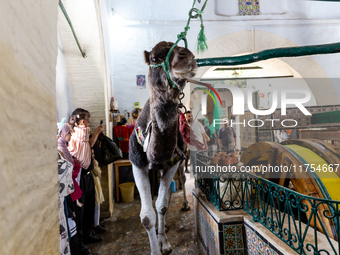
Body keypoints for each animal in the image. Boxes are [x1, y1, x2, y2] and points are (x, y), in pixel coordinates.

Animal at [129, 40, 198, 254]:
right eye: (155, 58)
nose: (187, 57)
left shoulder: (173, 163)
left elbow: (162, 206)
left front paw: (165, 244)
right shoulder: (137, 165)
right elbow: (146, 216)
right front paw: (155, 248)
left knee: (178, 183)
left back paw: (182, 206)